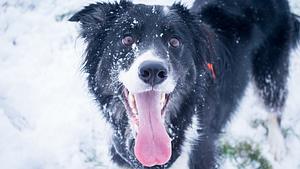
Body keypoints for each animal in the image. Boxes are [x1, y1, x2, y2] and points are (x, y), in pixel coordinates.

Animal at [69, 0, 298, 168]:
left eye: (174, 41)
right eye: (126, 39)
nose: (153, 71)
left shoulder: (202, 154)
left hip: (271, 65)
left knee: (274, 104)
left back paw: (277, 145)